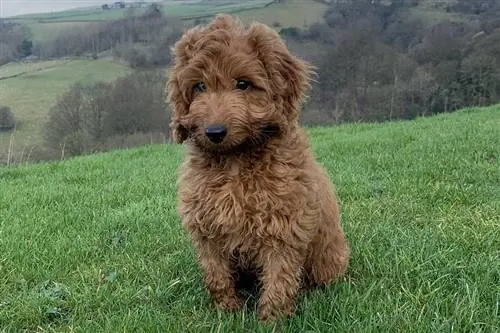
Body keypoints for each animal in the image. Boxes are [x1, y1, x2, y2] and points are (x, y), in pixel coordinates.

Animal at [166, 14, 350, 320]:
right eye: (199, 86)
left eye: (243, 84)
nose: (214, 132)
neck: (234, 161)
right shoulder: (206, 229)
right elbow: (216, 275)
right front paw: (227, 311)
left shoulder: (283, 228)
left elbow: (279, 280)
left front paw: (271, 320)